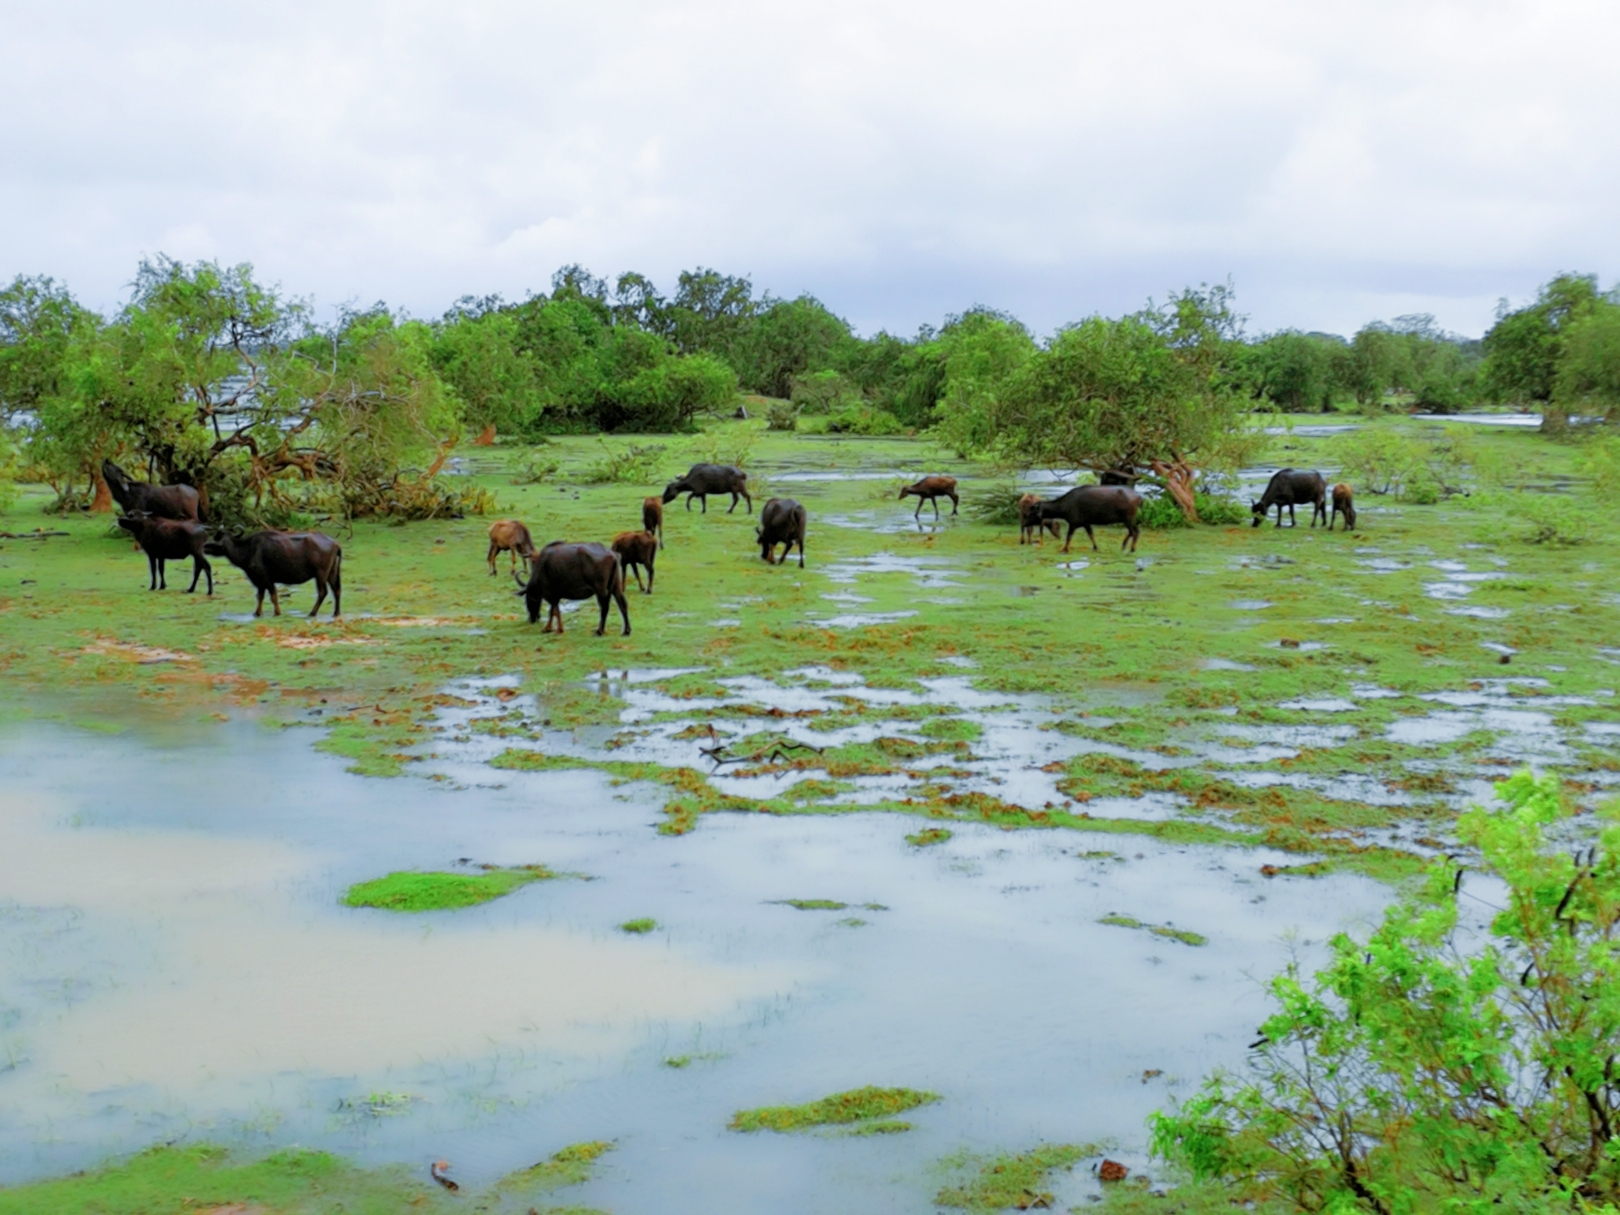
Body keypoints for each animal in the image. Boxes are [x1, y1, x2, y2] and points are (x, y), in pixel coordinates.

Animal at [205, 531, 341, 618]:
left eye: (217, 539)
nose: (205, 546)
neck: (249, 550)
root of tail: (335, 543)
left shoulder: (267, 579)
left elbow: (273, 596)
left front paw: (277, 612)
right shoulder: (259, 582)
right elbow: (260, 597)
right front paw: (257, 613)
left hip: (321, 574)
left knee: (323, 592)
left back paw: (312, 613)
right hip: (332, 572)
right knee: (337, 590)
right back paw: (336, 613)